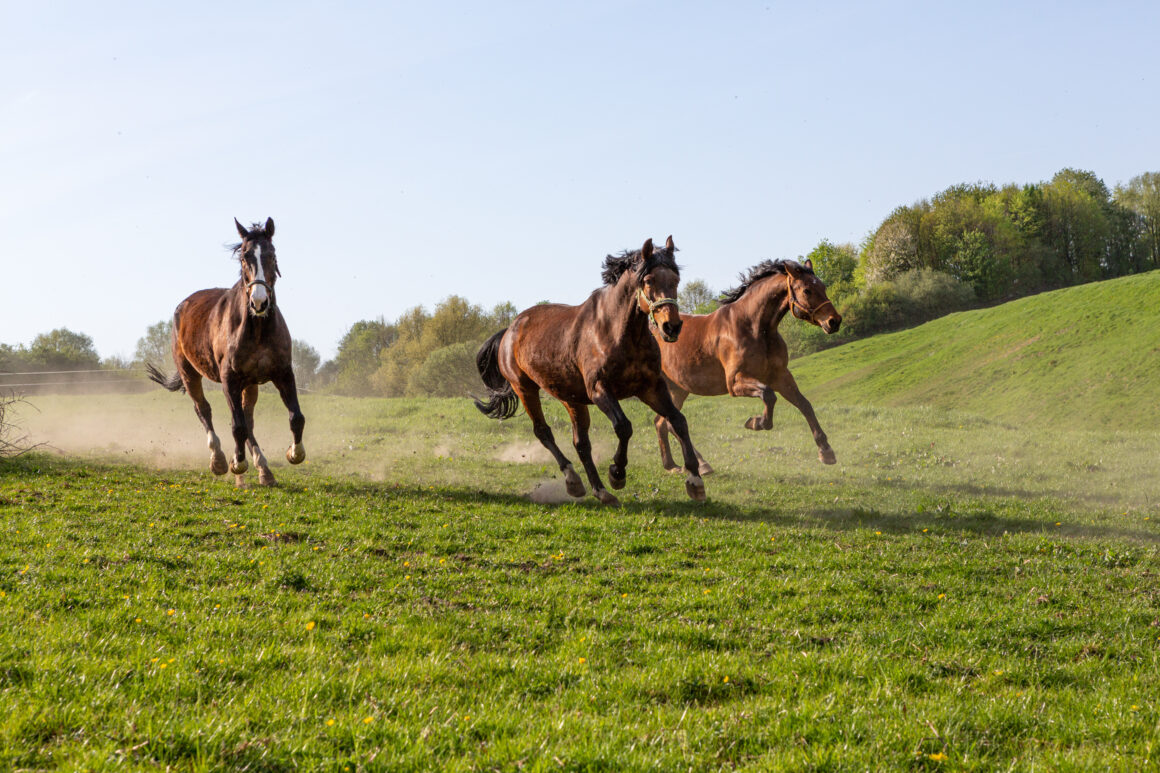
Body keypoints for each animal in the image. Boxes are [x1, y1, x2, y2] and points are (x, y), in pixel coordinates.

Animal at [145, 213, 306, 485]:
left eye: (272, 255)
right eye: (244, 256)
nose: (259, 302)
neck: (257, 328)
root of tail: (183, 306)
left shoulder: (283, 373)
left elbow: (296, 416)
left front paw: (295, 453)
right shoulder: (229, 379)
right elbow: (236, 426)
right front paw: (237, 464)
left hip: (250, 384)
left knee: (248, 419)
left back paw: (264, 469)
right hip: (190, 373)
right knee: (204, 410)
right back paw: (219, 459)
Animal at [470, 234, 705, 506]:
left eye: (675, 279)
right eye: (648, 280)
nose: (671, 327)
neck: (618, 333)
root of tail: (509, 330)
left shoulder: (651, 387)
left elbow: (678, 421)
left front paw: (695, 481)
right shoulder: (600, 390)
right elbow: (624, 427)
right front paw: (617, 473)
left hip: (572, 399)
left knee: (581, 443)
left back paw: (599, 490)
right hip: (525, 389)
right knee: (543, 432)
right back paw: (574, 479)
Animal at [654, 258, 844, 473]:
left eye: (823, 287)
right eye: (807, 290)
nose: (834, 321)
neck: (754, 328)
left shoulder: (781, 376)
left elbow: (805, 405)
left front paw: (826, 451)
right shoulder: (735, 382)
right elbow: (768, 395)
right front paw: (756, 422)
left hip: (678, 389)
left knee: (663, 423)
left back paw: (677, 465)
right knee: (669, 423)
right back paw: (694, 465)